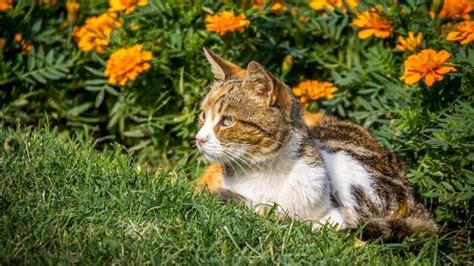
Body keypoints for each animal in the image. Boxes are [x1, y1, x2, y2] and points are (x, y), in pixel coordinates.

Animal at [194, 47, 436, 241]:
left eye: (228, 120)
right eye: (203, 115)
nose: (199, 138)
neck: (263, 171)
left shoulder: (334, 215)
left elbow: (323, 225)